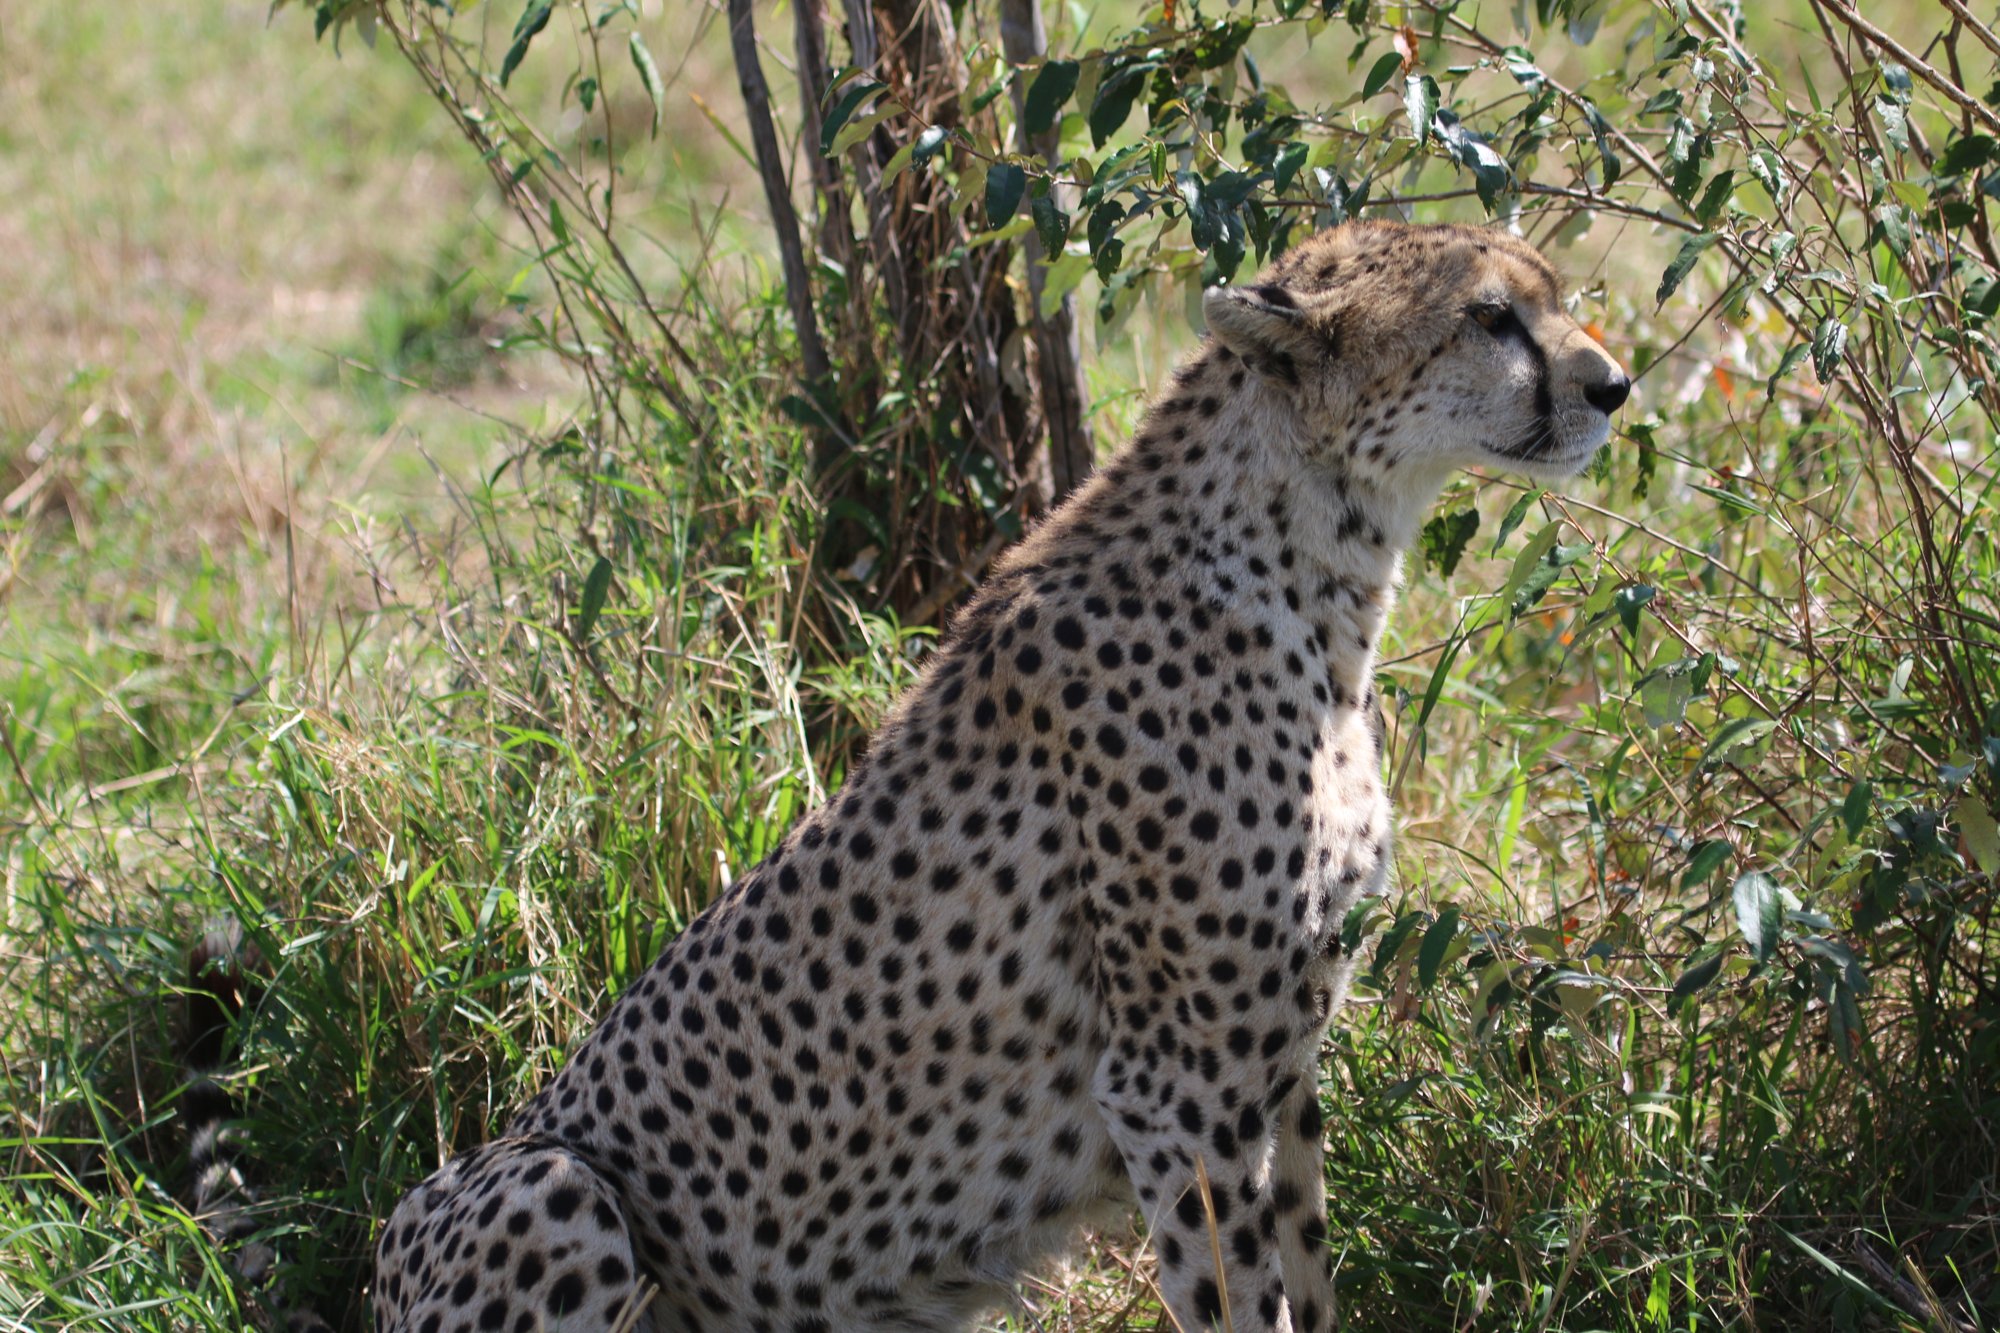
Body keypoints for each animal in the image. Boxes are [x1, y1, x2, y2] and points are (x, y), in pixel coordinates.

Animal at [369, 220, 1629, 1333]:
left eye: (1550, 294)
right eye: (1486, 317)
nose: (1613, 384)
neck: (1311, 571)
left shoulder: (1279, 1065)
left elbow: (1309, 1281)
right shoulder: (1178, 1084)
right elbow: (1238, 1298)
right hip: (546, 1182)